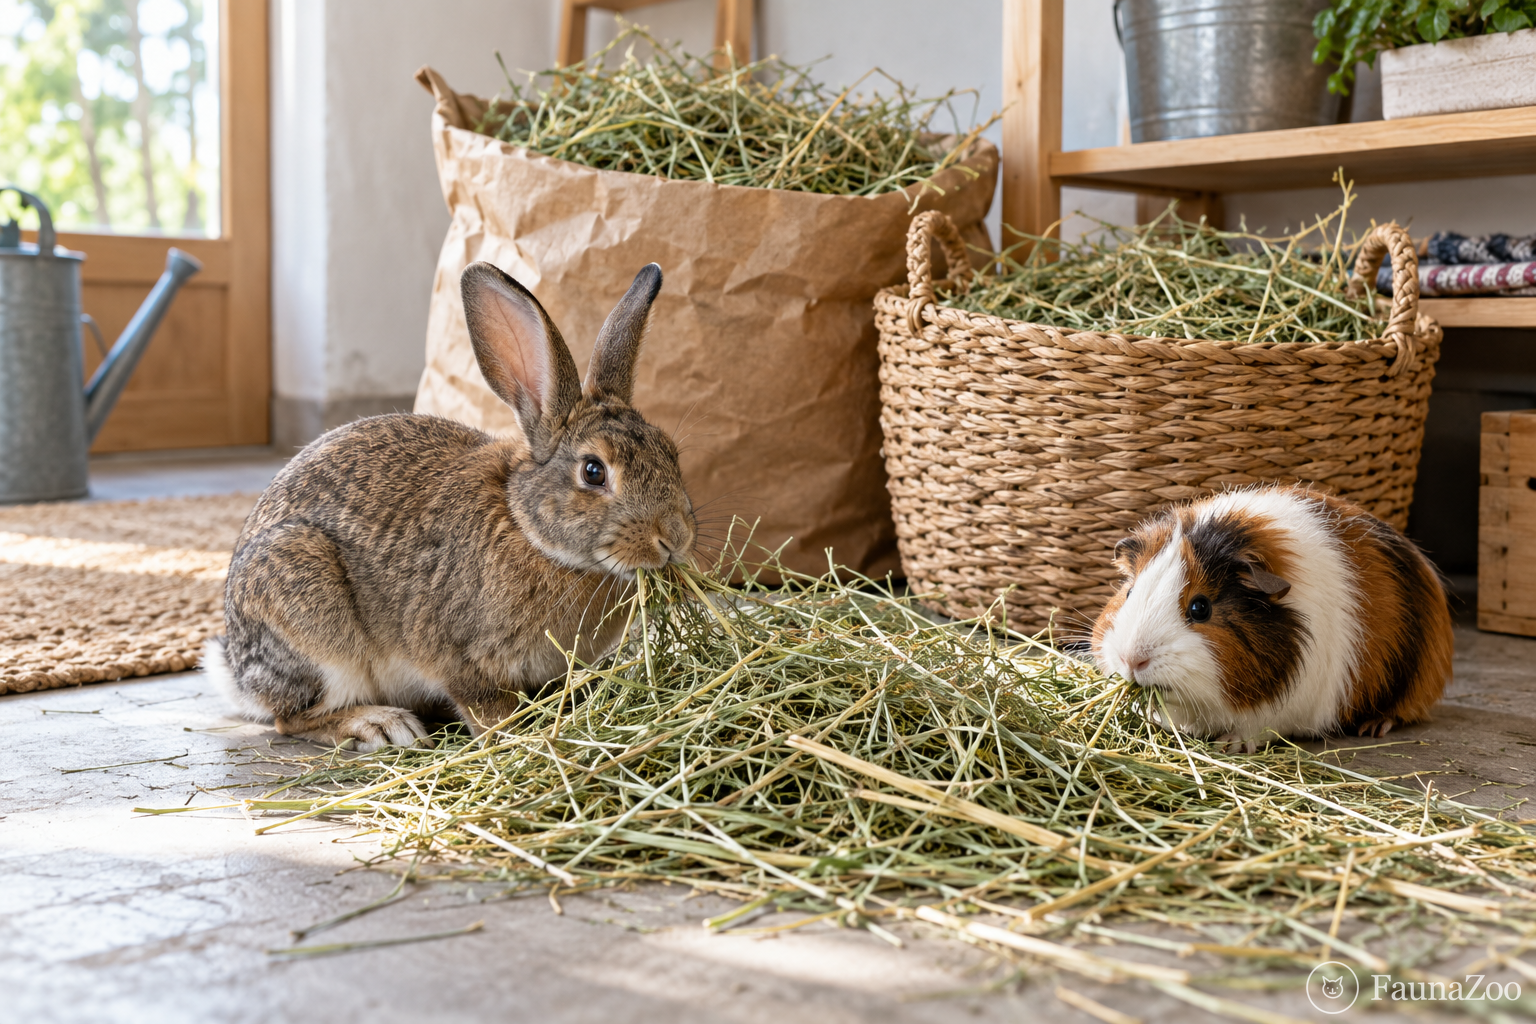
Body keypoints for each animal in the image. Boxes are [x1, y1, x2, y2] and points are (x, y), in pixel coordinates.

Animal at [206, 261, 697, 751]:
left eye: (671, 452)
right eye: (593, 471)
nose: (674, 538)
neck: (528, 529)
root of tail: (236, 668)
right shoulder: (463, 659)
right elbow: (489, 709)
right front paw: (516, 737)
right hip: (314, 624)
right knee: (291, 718)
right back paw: (381, 725)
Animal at [1091, 485, 1453, 753]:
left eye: (1200, 608)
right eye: (1129, 592)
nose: (1131, 659)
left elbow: (1255, 729)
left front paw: (1230, 745)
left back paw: (1374, 727)